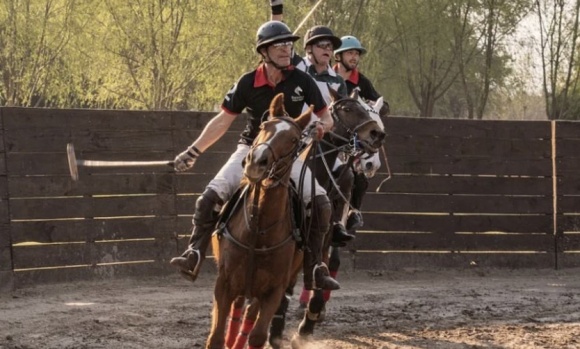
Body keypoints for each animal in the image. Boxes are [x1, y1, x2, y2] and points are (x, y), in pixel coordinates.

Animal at [205, 93, 310, 348]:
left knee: (250, 314)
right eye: (264, 127)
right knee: (238, 308)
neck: (259, 228)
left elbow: (257, 336)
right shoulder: (224, 283)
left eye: (294, 140)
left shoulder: (274, 290)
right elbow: (215, 337)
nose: (256, 161)